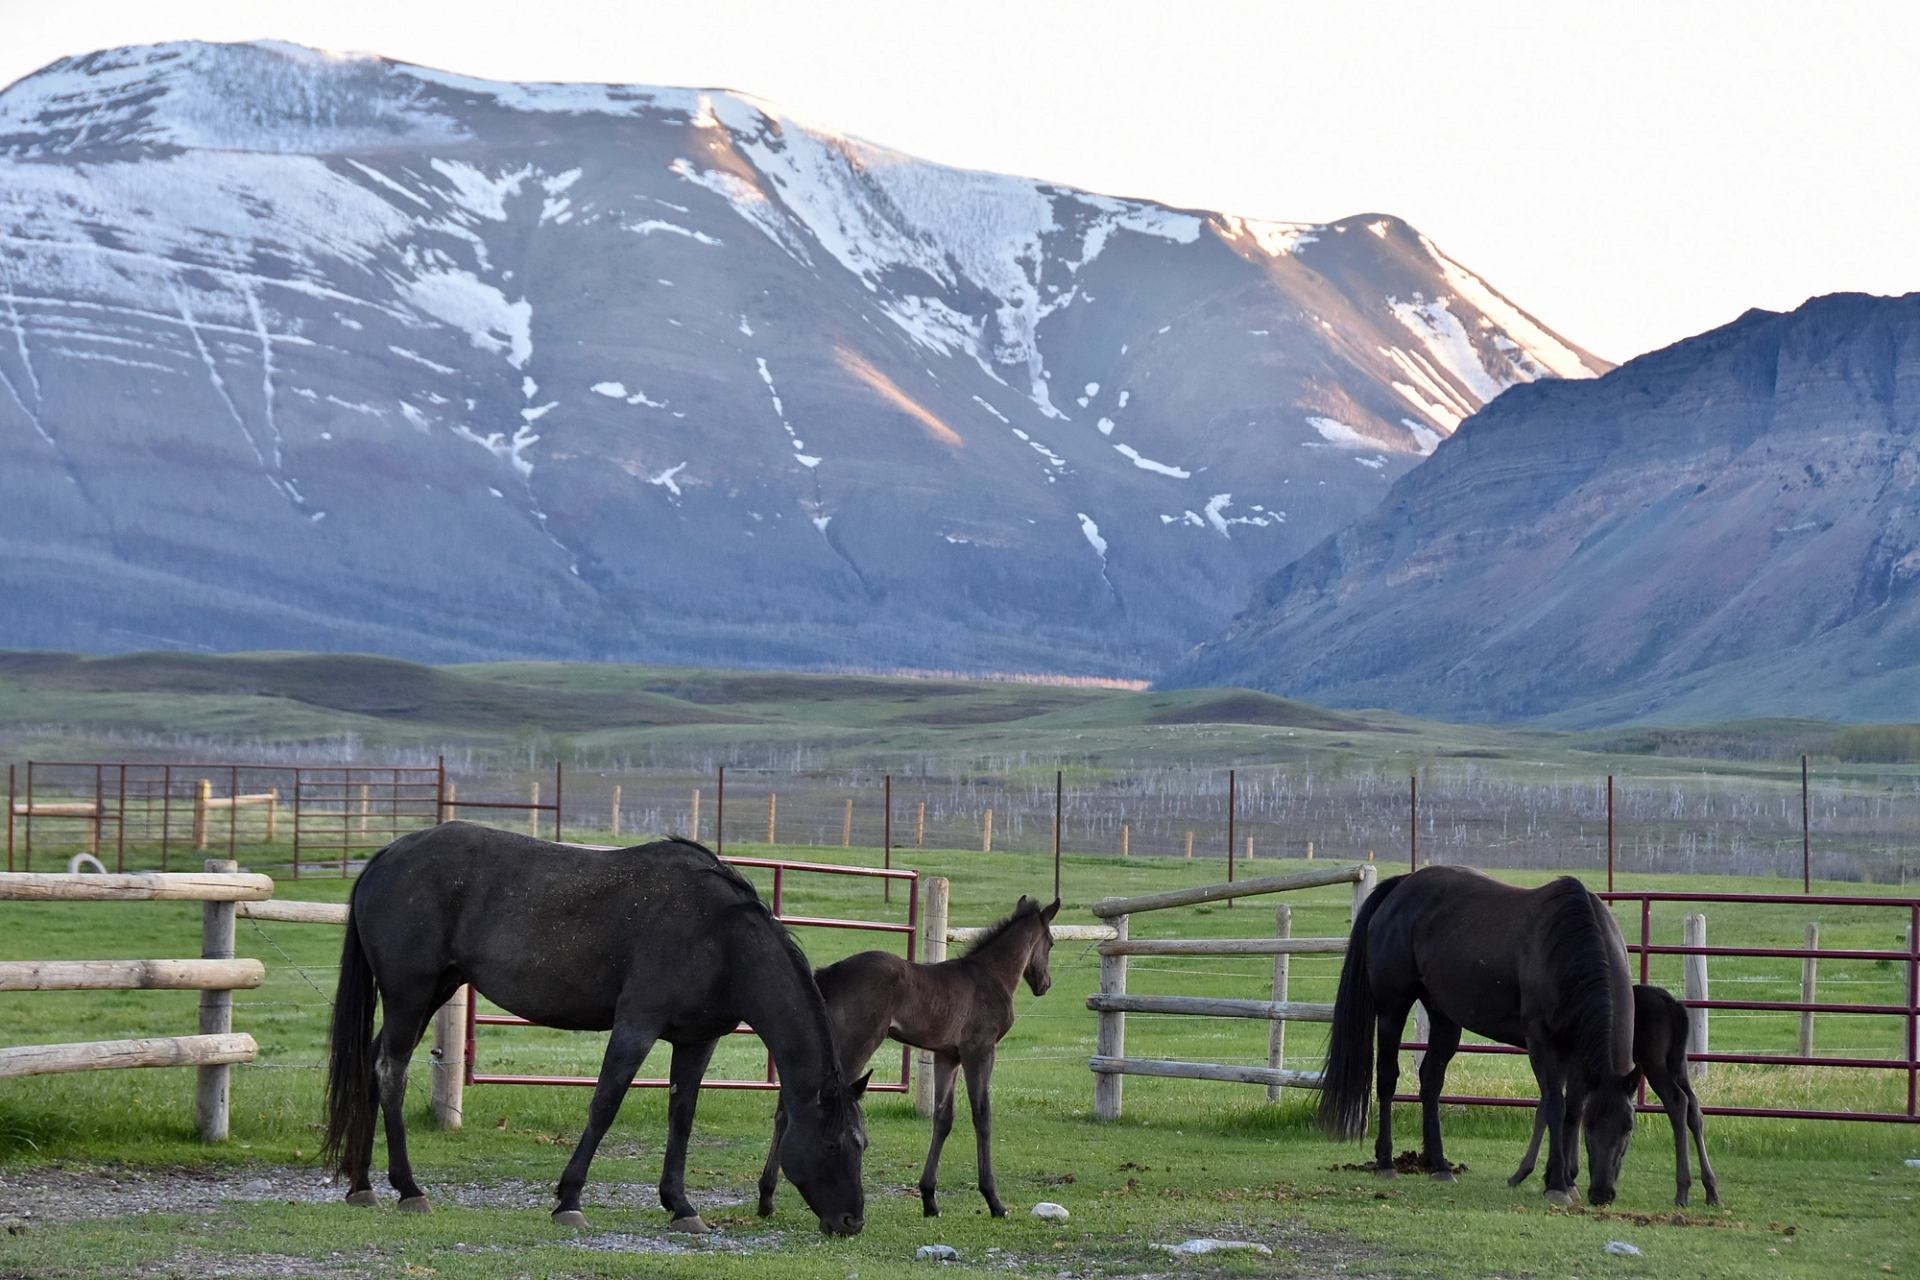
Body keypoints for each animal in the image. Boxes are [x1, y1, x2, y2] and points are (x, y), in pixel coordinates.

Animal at [321, 822, 870, 1235]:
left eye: (862, 1144)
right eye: (831, 1145)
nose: (851, 1222)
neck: (721, 936)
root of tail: (388, 855)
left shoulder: (698, 1041)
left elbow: (682, 1117)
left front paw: (681, 1206)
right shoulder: (635, 1027)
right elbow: (604, 1106)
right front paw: (569, 1200)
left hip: (432, 991)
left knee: (374, 1065)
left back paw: (363, 1185)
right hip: (409, 993)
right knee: (391, 1071)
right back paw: (408, 1189)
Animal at [759, 895, 1060, 1219]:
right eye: (1051, 942)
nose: (1045, 985)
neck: (991, 976)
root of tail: (830, 973)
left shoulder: (947, 1056)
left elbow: (943, 1118)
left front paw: (929, 1199)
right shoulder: (979, 1050)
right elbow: (982, 1116)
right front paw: (994, 1200)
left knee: (785, 1110)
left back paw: (766, 1197)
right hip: (854, 1044)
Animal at [1317, 866, 1638, 1206]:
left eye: (1629, 1127)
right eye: (1593, 1126)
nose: (1602, 1193)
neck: (1567, 947)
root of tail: (1402, 885)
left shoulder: (1575, 1049)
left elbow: (1572, 1110)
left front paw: (1564, 1178)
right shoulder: (1541, 1042)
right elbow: (1556, 1105)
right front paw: (1557, 1185)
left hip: (1443, 1016)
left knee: (1430, 1082)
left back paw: (1439, 1165)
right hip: (1393, 1009)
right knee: (1388, 1077)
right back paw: (1386, 1163)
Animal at [1509, 983, 1720, 1207]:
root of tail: (1672, 1003)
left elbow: (1558, 1106)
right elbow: (1561, 1107)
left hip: (1654, 1062)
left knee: (1677, 1101)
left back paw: (1682, 1189)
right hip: (1677, 1064)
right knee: (1694, 1107)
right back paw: (1710, 1188)